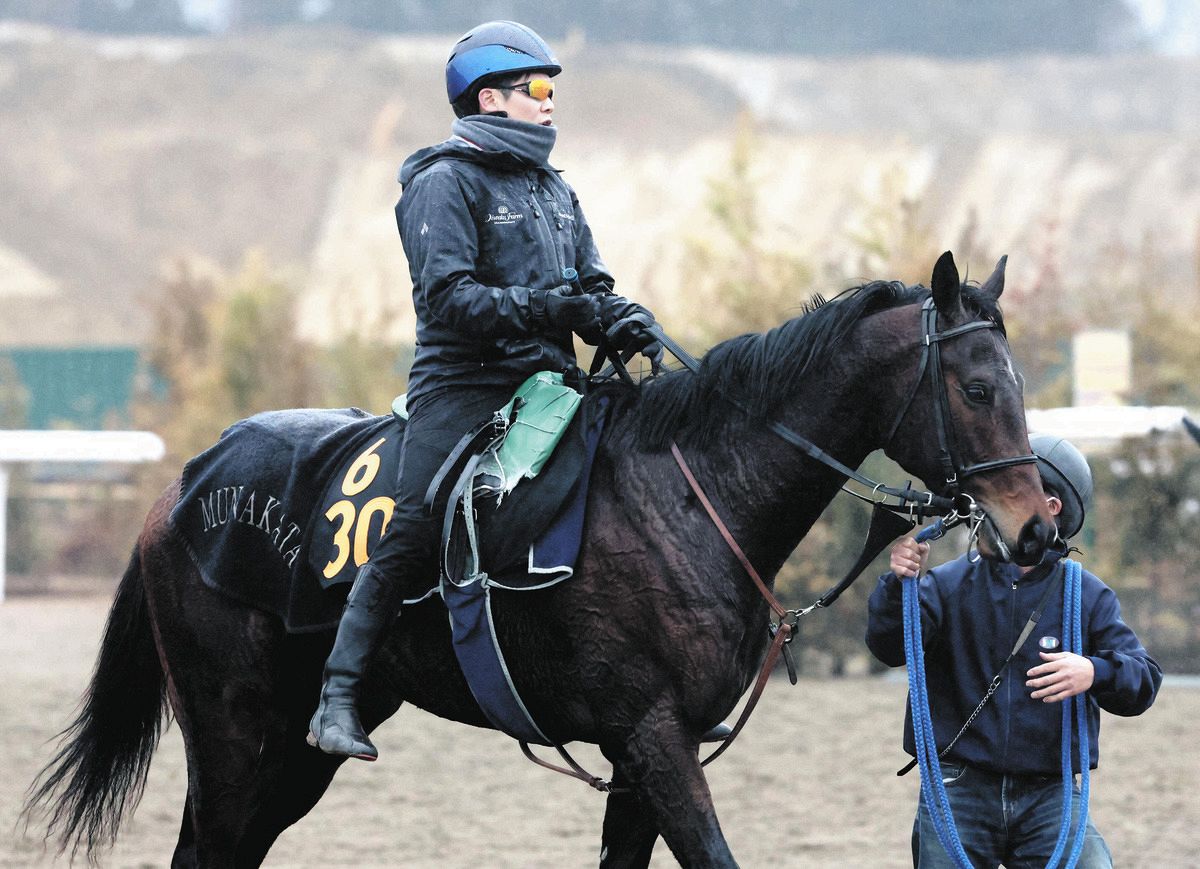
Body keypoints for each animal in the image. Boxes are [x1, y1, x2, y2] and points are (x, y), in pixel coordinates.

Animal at [25, 249, 1051, 864]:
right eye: (975, 386)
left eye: (1018, 383)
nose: (1036, 526)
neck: (688, 496)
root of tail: (180, 488)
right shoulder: (653, 735)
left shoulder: (645, 754)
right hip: (234, 730)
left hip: (289, 750)